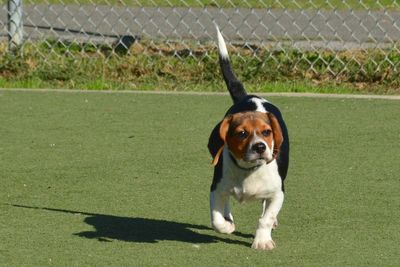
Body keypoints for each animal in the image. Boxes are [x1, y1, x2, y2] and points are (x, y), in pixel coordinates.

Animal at [208, 26, 290, 250]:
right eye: (242, 133)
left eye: (267, 132)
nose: (260, 147)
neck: (249, 170)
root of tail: (249, 97)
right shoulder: (216, 189)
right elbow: (216, 219)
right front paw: (226, 226)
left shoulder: (278, 193)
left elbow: (265, 218)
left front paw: (262, 241)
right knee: (226, 203)